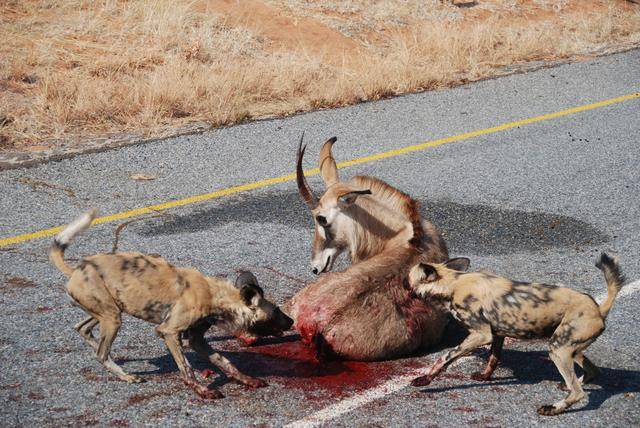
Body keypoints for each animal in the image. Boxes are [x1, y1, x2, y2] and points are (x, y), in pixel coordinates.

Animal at [48, 209, 294, 400]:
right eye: (277, 311)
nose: (292, 320)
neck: (215, 296)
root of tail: (77, 269)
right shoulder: (168, 332)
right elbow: (186, 369)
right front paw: (202, 391)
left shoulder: (197, 340)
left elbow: (225, 362)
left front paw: (247, 379)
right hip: (113, 319)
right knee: (100, 353)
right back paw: (126, 375)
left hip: (110, 312)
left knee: (83, 330)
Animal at [410, 254, 624, 414]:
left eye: (407, 281)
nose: (403, 289)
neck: (452, 283)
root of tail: (599, 309)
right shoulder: (497, 334)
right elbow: (493, 358)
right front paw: (485, 376)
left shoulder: (482, 334)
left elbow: (444, 358)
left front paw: (426, 380)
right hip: (570, 348)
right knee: (593, 371)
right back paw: (568, 386)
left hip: (558, 350)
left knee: (578, 393)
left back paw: (553, 408)